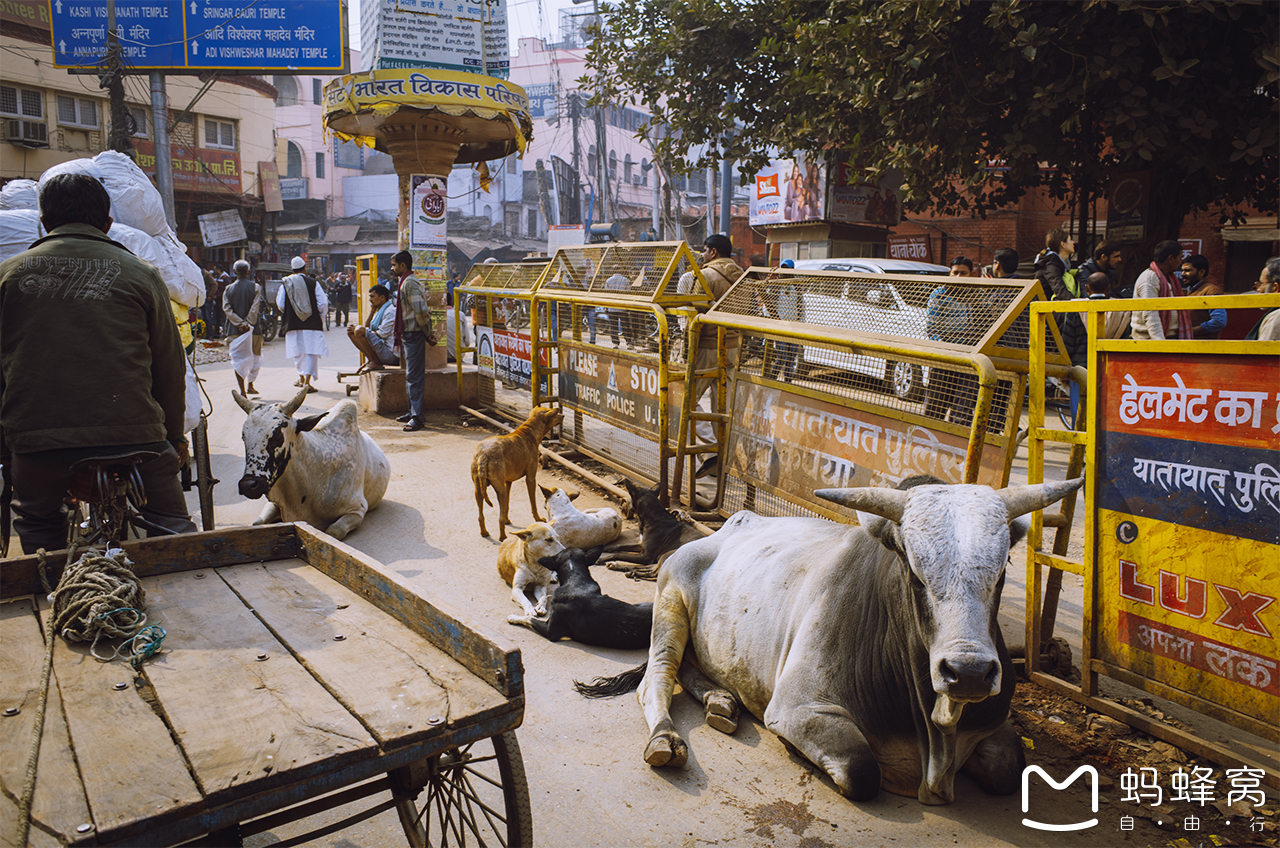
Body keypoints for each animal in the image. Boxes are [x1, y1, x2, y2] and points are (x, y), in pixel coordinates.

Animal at [232, 389, 386, 540]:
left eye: (277, 436)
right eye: (244, 436)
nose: (248, 485)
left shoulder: (357, 509)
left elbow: (334, 532)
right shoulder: (274, 504)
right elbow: (257, 523)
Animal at [473, 404, 563, 538]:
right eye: (556, 414)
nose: (563, 415)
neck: (529, 431)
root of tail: (483, 455)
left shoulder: (508, 482)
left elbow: (507, 506)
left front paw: (507, 519)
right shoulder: (530, 478)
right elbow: (533, 503)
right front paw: (538, 519)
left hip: (479, 490)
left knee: (480, 516)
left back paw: (484, 532)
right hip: (499, 491)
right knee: (498, 519)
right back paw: (503, 537)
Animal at [576, 473, 1085, 809]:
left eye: (1002, 570)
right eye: (914, 570)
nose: (970, 673)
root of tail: (727, 526)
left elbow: (1008, 769)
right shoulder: (797, 707)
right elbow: (862, 771)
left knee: (691, 668)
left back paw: (723, 701)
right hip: (669, 603)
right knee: (657, 679)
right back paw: (666, 737)